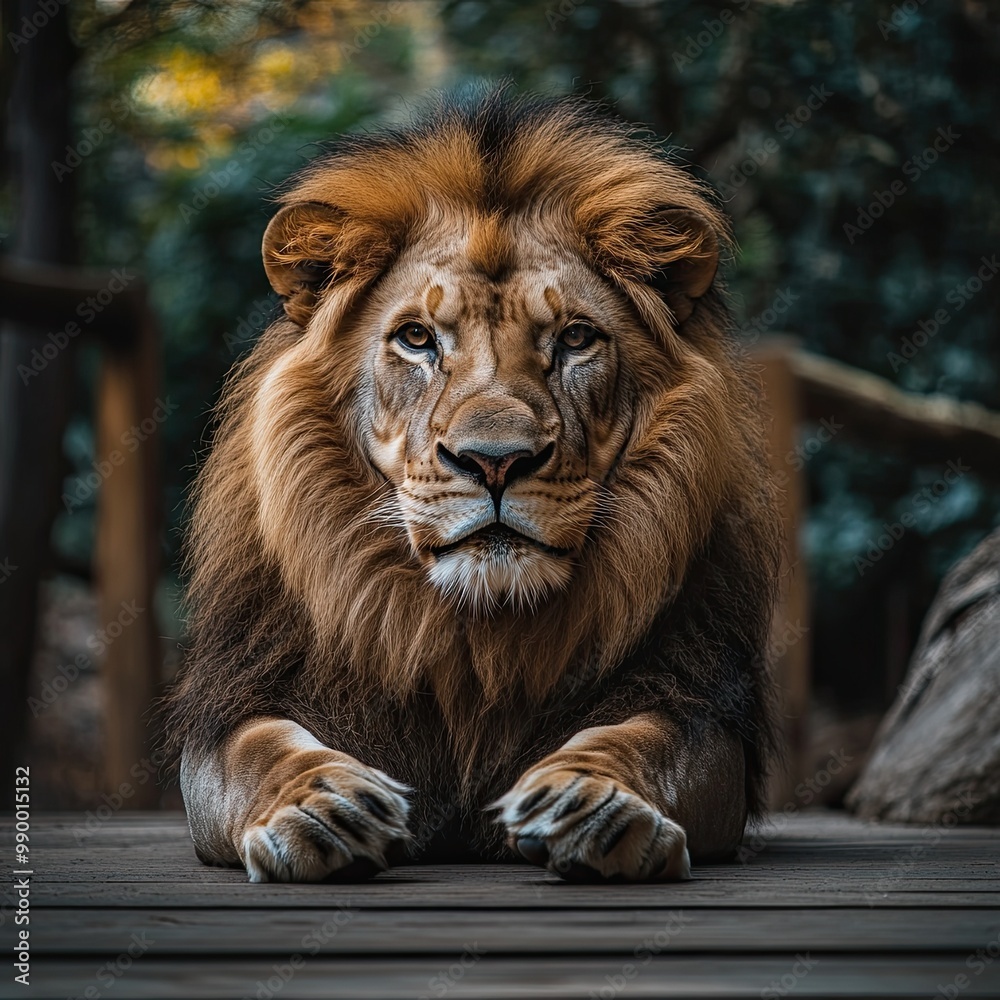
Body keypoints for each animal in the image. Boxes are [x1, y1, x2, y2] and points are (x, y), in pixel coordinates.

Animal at [163, 89, 782, 884]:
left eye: (575, 338)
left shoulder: (696, 704)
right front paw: (323, 808)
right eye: (417, 339)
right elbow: (264, 751)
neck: (472, 644)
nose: (495, 461)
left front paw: (593, 805)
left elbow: (640, 742)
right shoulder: (238, 705)